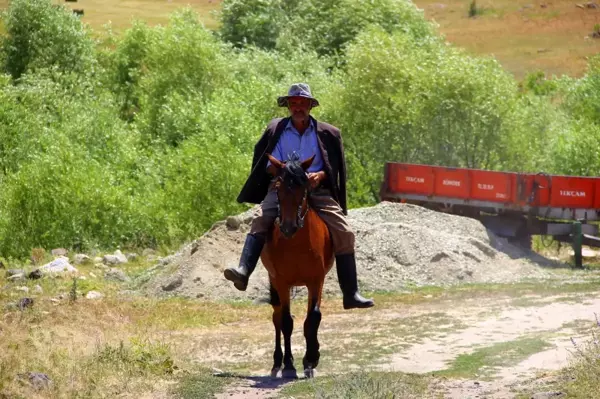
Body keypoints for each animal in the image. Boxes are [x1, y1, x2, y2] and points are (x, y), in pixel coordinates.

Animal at [262, 154, 336, 382]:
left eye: (303, 187)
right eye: (277, 188)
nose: (288, 227)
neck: (295, 243)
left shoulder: (316, 280)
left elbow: (313, 318)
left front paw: (311, 360)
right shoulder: (281, 281)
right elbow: (286, 322)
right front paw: (288, 365)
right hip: (274, 282)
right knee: (277, 318)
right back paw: (277, 363)